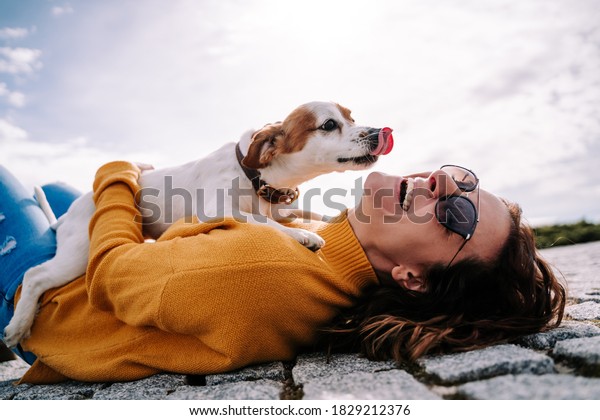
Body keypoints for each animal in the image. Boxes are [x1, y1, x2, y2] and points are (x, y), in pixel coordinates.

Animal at [2, 101, 394, 348]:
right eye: (329, 125)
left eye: (352, 117)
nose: (379, 131)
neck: (255, 176)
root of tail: (69, 213)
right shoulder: (216, 210)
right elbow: (259, 221)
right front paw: (301, 236)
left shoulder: (284, 207)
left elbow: (313, 214)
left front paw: (329, 218)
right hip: (78, 255)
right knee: (33, 276)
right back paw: (18, 326)